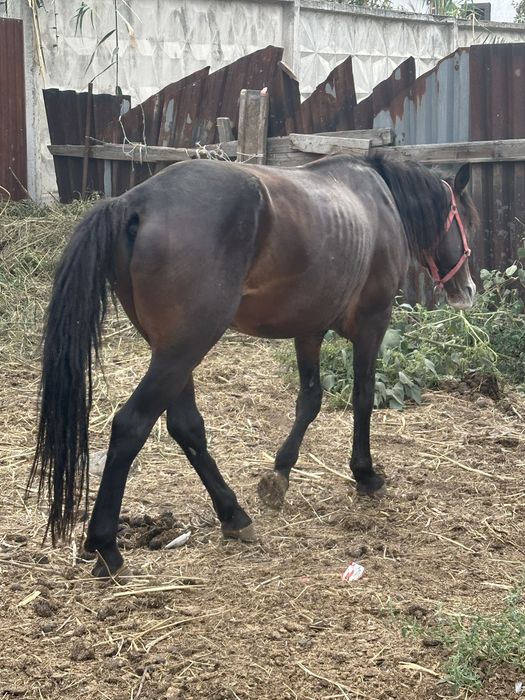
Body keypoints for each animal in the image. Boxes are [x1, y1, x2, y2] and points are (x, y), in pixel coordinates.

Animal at [29, 152, 478, 578]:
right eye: (466, 220)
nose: (468, 289)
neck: (376, 201)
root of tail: (134, 202)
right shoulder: (373, 322)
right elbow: (363, 398)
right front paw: (365, 475)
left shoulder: (309, 330)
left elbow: (309, 401)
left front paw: (279, 475)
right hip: (182, 351)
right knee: (130, 426)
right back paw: (107, 547)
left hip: (172, 353)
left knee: (185, 426)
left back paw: (233, 515)